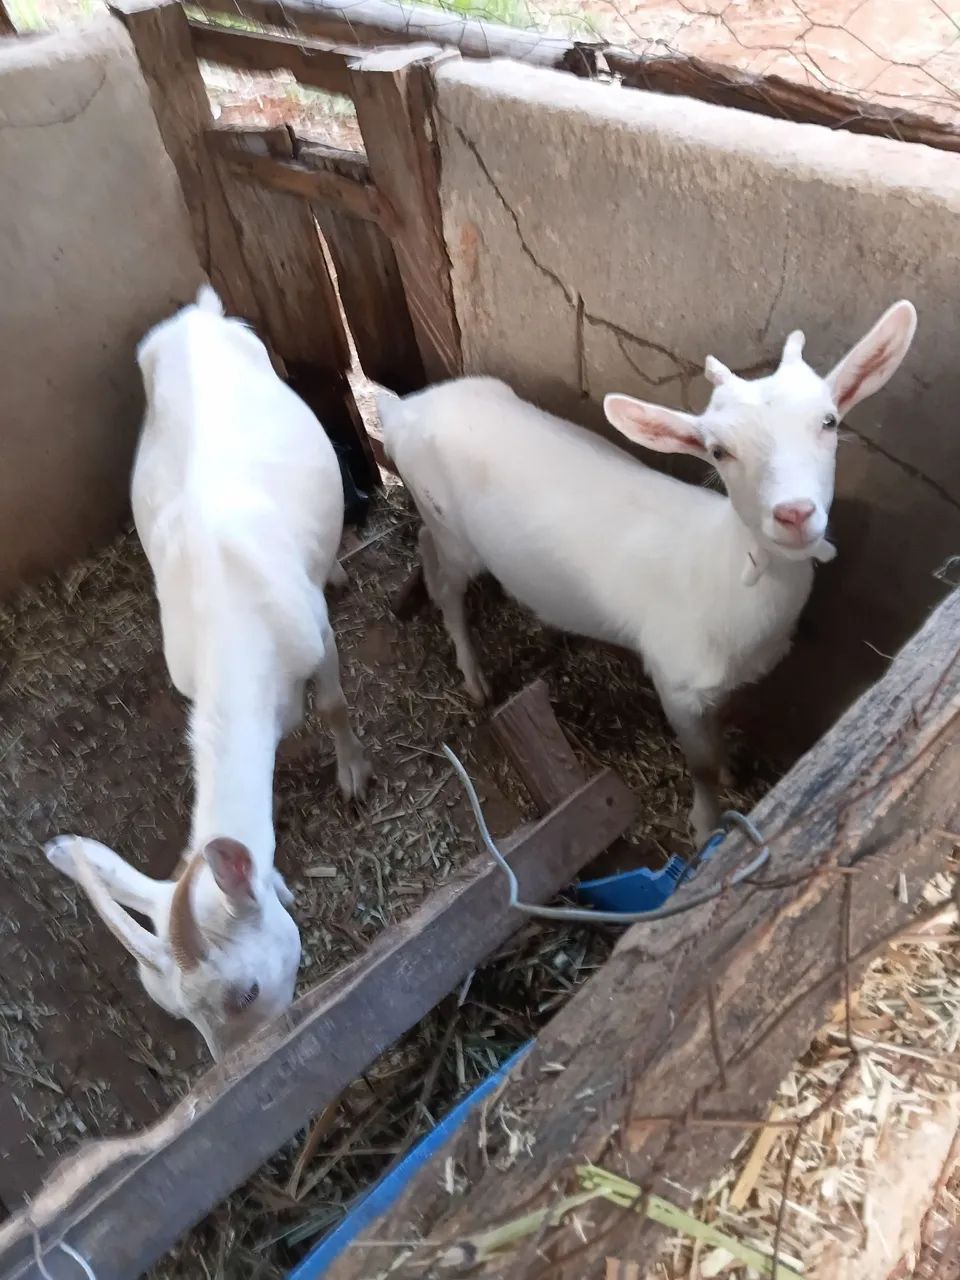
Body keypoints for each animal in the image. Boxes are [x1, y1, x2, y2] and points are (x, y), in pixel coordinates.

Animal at [46, 285, 370, 1060]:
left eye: (244, 992)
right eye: (176, 1012)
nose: (236, 1070)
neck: (232, 621)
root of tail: (196, 315)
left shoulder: (316, 636)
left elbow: (335, 706)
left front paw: (353, 777)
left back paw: (337, 568)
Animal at [378, 300, 916, 843]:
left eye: (828, 420)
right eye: (718, 451)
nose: (794, 513)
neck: (723, 573)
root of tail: (401, 410)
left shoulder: (717, 688)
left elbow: (718, 733)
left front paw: (730, 770)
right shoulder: (674, 680)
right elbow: (698, 764)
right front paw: (704, 824)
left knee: (426, 547)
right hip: (454, 530)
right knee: (447, 585)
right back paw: (475, 679)